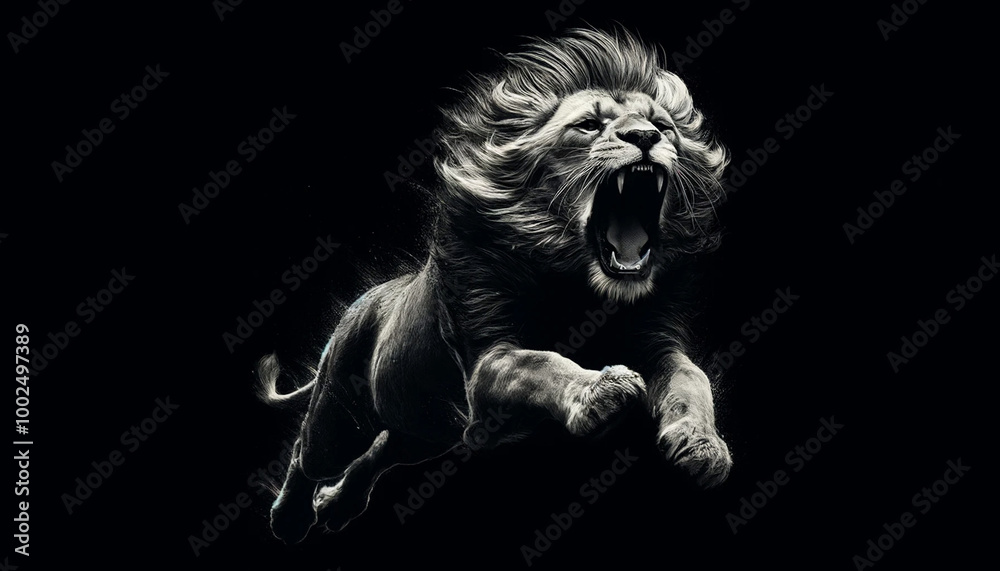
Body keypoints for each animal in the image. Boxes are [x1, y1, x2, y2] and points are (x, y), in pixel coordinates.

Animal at [260, 27, 732, 544]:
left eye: (663, 126)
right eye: (588, 125)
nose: (646, 137)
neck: (579, 285)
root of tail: (362, 301)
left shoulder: (657, 342)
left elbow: (692, 378)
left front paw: (703, 446)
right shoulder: (490, 361)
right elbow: (540, 363)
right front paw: (599, 392)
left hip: (419, 431)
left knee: (378, 455)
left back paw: (336, 506)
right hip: (342, 415)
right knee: (308, 453)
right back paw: (289, 518)